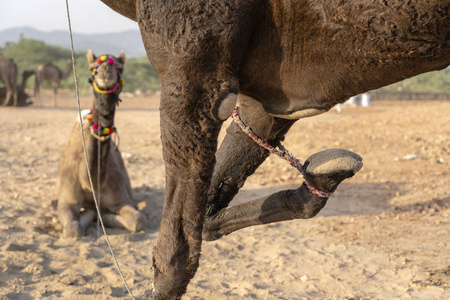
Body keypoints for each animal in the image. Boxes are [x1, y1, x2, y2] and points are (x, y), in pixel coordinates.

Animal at [55, 50, 145, 238]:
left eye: (120, 68)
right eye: (92, 68)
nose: (105, 72)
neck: (92, 183)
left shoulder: (122, 199)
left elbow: (138, 220)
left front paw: (103, 216)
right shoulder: (67, 200)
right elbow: (73, 229)